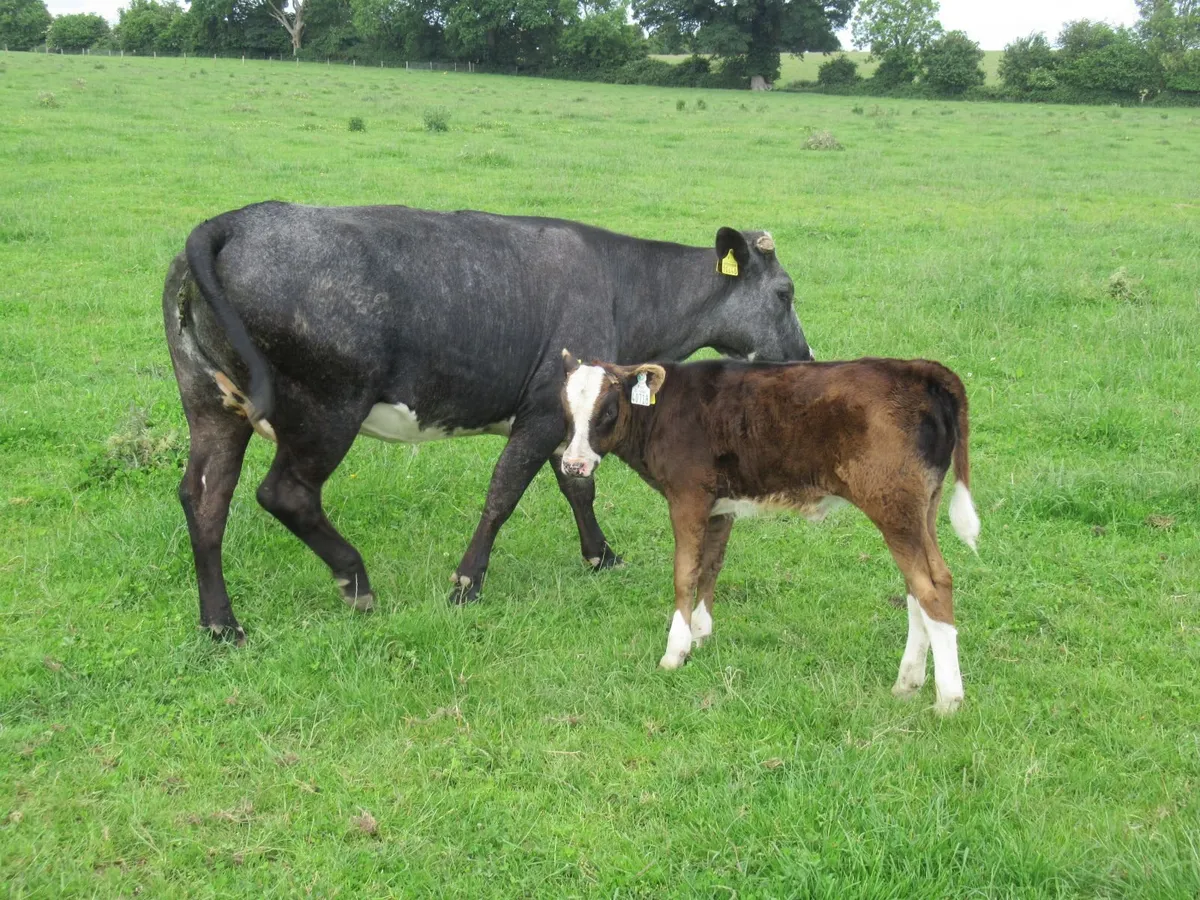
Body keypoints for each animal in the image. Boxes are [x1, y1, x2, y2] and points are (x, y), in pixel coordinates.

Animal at [162, 202, 812, 643]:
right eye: (784, 292)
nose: (805, 360)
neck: (623, 288)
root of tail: (237, 221)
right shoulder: (545, 411)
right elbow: (504, 493)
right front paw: (467, 583)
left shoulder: (571, 417)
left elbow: (577, 484)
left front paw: (601, 556)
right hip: (327, 408)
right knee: (285, 493)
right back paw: (355, 580)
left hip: (212, 405)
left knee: (205, 499)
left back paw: (221, 624)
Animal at [559, 353, 981, 715]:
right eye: (566, 410)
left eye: (608, 410)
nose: (573, 465)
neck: (663, 410)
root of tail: (919, 368)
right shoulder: (720, 505)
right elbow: (709, 568)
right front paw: (700, 634)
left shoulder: (687, 495)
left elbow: (684, 574)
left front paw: (675, 651)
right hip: (920, 508)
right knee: (923, 586)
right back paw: (908, 682)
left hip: (892, 504)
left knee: (930, 587)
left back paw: (948, 699)